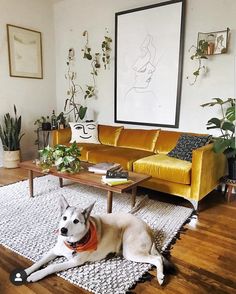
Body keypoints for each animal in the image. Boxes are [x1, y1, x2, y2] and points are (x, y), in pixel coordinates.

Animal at [24, 196, 174, 284]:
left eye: (76, 221)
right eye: (64, 218)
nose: (63, 230)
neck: (72, 242)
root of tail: (147, 227)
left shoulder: (74, 261)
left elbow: (51, 266)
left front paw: (36, 275)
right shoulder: (54, 251)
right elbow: (39, 262)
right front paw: (26, 271)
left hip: (131, 251)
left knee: (157, 259)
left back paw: (160, 276)